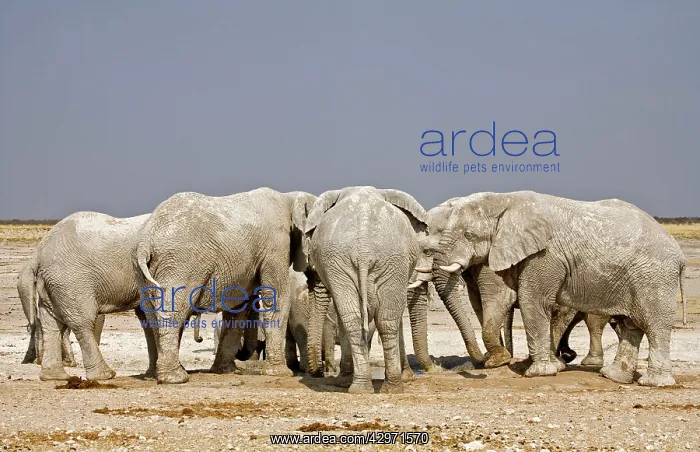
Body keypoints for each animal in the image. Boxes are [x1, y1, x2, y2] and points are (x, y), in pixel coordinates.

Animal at [21, 212, 161, 381]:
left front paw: (152, 375)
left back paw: (55, 376)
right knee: (83, 322)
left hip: (52, 284)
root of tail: (39, 253)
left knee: (51, 323)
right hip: (71, 281)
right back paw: (104, 375)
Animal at [135, 187, 316, 384]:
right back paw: (176, 377)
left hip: (146, 270)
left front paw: (226, 371)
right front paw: (280, 373)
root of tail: (146, 240)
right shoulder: (275, 246)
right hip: (179, 262)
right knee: (172, 310)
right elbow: (277, 298)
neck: (290, 197)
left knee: (151, 315)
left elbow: (238, 308)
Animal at [304, 186, 428, 394]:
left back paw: (371, 387)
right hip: (366, 261)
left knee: (365, 320)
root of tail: (364, 250)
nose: (319, 373)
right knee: (381, 320)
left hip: (385, 260)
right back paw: (378, 387)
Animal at [419, 191, 686, 387]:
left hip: (655, 277)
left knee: (654, 325)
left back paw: (654, 383)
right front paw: (550, 366)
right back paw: (613, 376)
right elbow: (505, 301)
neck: (505, 200)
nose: (486, 363)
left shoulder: (545, 256)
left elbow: (531, 301)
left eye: (469, 235)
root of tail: (680, 253)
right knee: (631, 326)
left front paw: (536, 372)